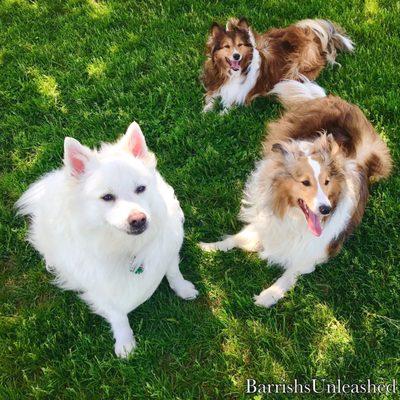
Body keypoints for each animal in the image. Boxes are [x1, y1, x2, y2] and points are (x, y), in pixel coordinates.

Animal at [16, 121, 198, 356]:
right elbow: (117, 315)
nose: (138, 219)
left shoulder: (168, 251)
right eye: (107, 197)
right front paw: (125, 342)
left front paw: (183, 289)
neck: (129, 248)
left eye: (140, 188)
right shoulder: (100, 288)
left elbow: (174, 272)